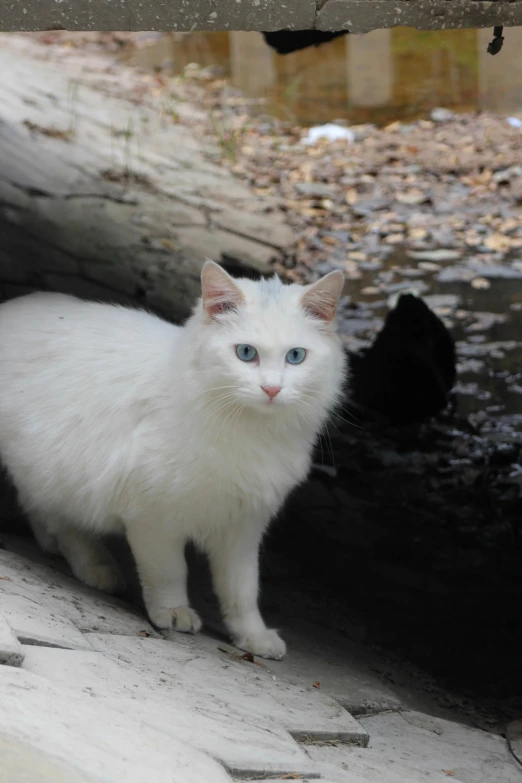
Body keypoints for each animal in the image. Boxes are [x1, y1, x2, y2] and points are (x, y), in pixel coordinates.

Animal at [0, 260, 346, 660]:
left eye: (295, 357)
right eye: (246, 353)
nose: (272, 389)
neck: (249, 430)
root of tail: (10, 306)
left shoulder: (243, 528)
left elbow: (242, 590)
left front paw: (253, 637)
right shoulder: (153, 518)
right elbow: (168, 571)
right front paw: (174, 612)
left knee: (43, 513)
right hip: (56, 469)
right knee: (60, 521)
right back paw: (98, 568)